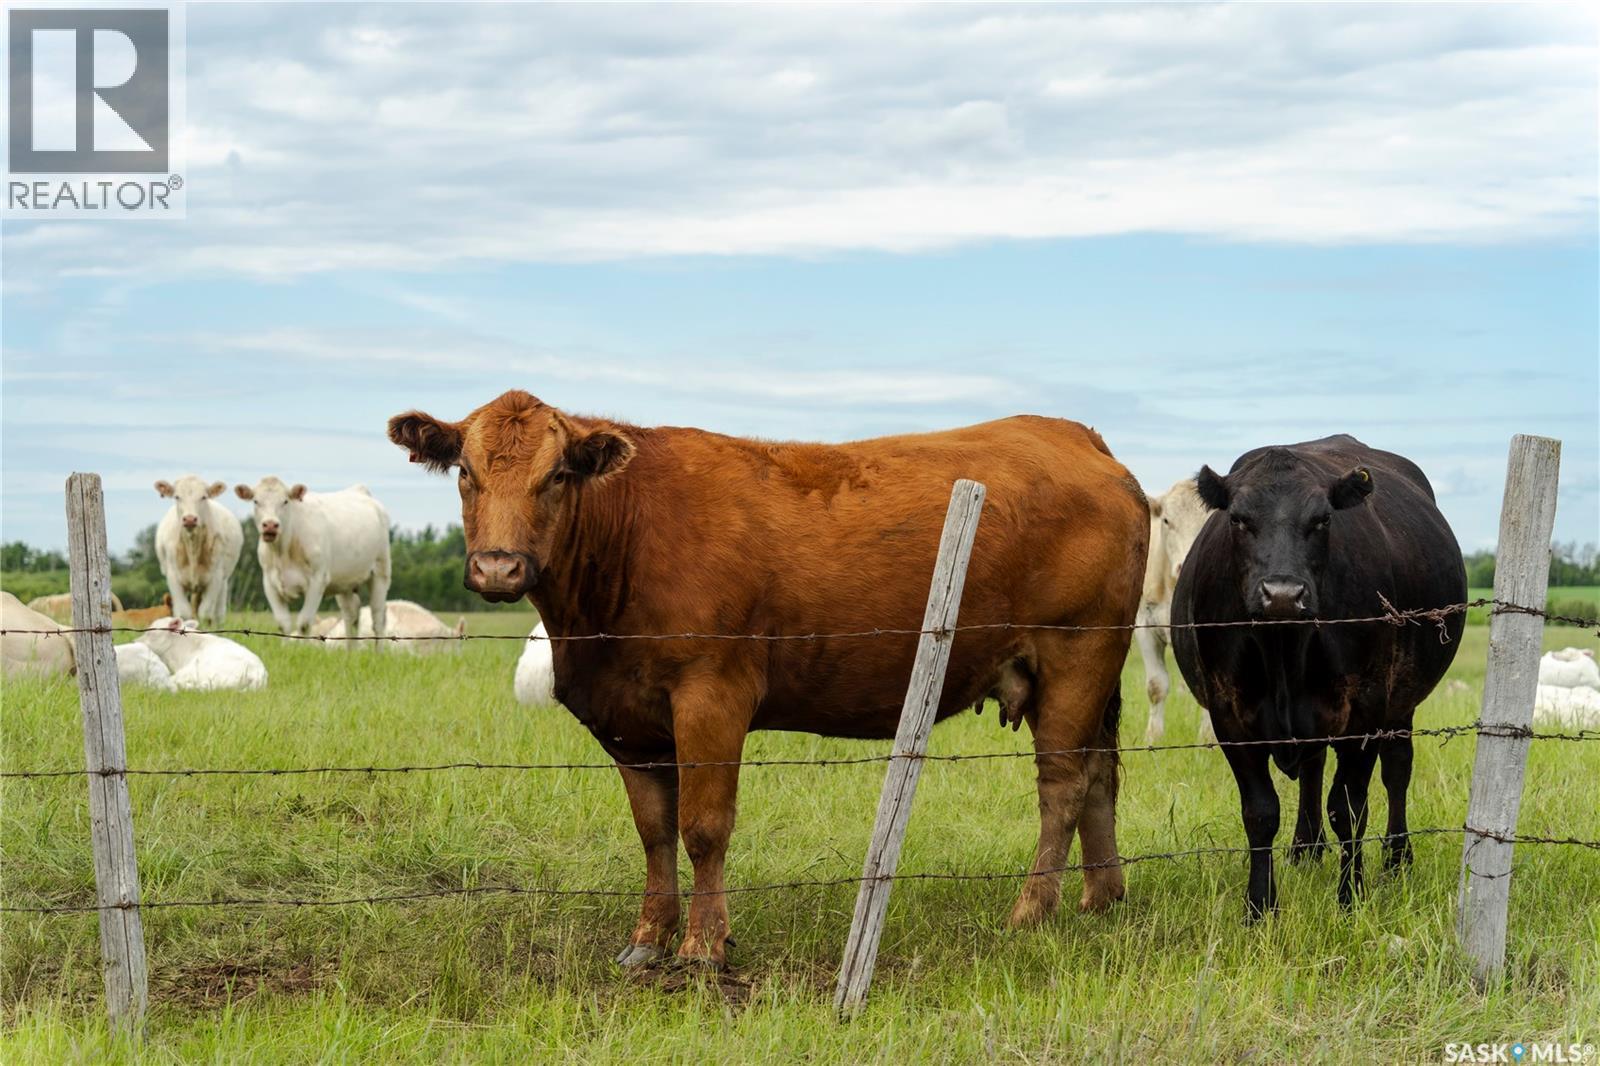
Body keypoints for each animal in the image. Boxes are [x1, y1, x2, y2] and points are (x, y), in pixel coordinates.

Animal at [155, 476, 244, 627]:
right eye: (177, 497)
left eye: (203, 497)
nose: (190, 519)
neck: (193, 547)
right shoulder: (173, 577)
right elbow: (183, 613)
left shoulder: (215, 577)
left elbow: (206, 614)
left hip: (223, 582)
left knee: (217, 614)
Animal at [234, 478, 391, 643]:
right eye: (256, 501)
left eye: (285, 501)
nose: (270, 525)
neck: (284, 551)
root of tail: (360, 490)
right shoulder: (269, 582)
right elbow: (283, 623)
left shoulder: (317, 580)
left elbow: (304, 623)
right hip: (345, 582)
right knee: (351, 616)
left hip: (381, 571)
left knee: (378, 618)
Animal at [389, 390, 1148, 968]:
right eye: (465, 472)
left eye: (556, 476)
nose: (498, 567)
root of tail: (1072, 434)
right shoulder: (626, 717)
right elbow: (654, 830)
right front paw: (647, 940)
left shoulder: (711, 694)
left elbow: (703, 827)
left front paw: (703, 946)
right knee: (1098, 775)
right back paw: (1100, 898)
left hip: (1077, 653)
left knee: (1063, 783)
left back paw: (1032, 910)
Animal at [1135, 478, 1214, 744]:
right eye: (1167, 521)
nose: (1184, 565)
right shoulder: (1144, 625)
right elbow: (1156, 686)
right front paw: (1153, 736)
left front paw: (1207, 738)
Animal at [1171, 435, 1465, 918]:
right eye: (1238, 518)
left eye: (1323, 519)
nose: (1282, 594)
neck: (1283, 649)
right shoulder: (1229, 715)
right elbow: (1260, 812)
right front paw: (1260, 906)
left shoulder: (1365, 709)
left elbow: (1348, 808)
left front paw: (1350, 897)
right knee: (1312, 769)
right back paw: (1305, 849)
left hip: (1401, 702)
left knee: (1397, 770)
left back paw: (1397, 858)